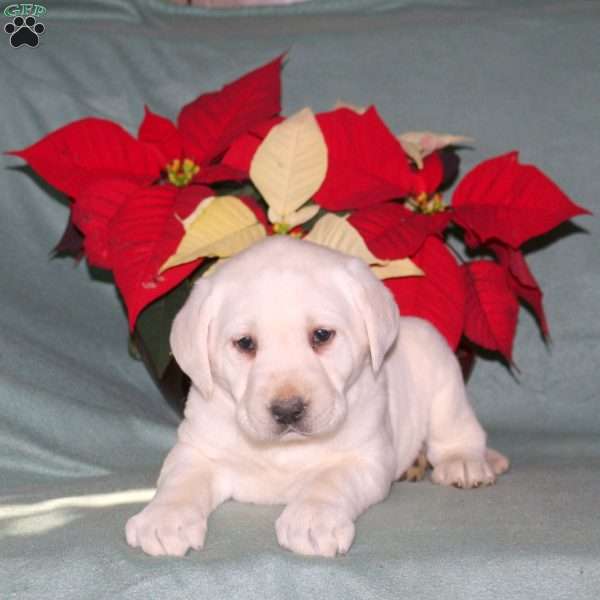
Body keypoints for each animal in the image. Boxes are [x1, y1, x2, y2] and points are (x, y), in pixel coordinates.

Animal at [124, 236, 508, 556]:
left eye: (322, 335)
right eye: (245, 343)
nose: (287, 410)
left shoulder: (363, 459)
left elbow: (328, 481)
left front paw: (312, 520)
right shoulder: (196, 451)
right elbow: (179, 483)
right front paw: (164, 519)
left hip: (441, 368)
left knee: (457, 429)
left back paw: (465, 462)